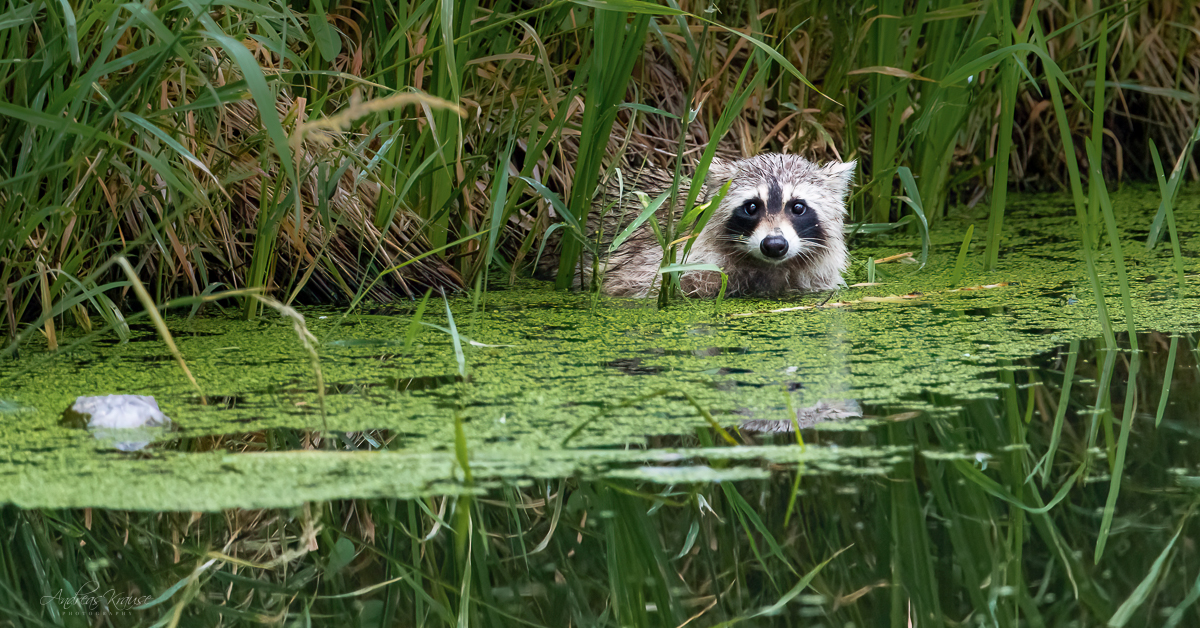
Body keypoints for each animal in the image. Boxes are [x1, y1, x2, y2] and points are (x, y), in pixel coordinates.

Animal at [556, 153, 859, 298]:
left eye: (798, 207)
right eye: (752, 207)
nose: (774, 245)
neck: (766, 267)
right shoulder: (659, 265)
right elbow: (626, 283)